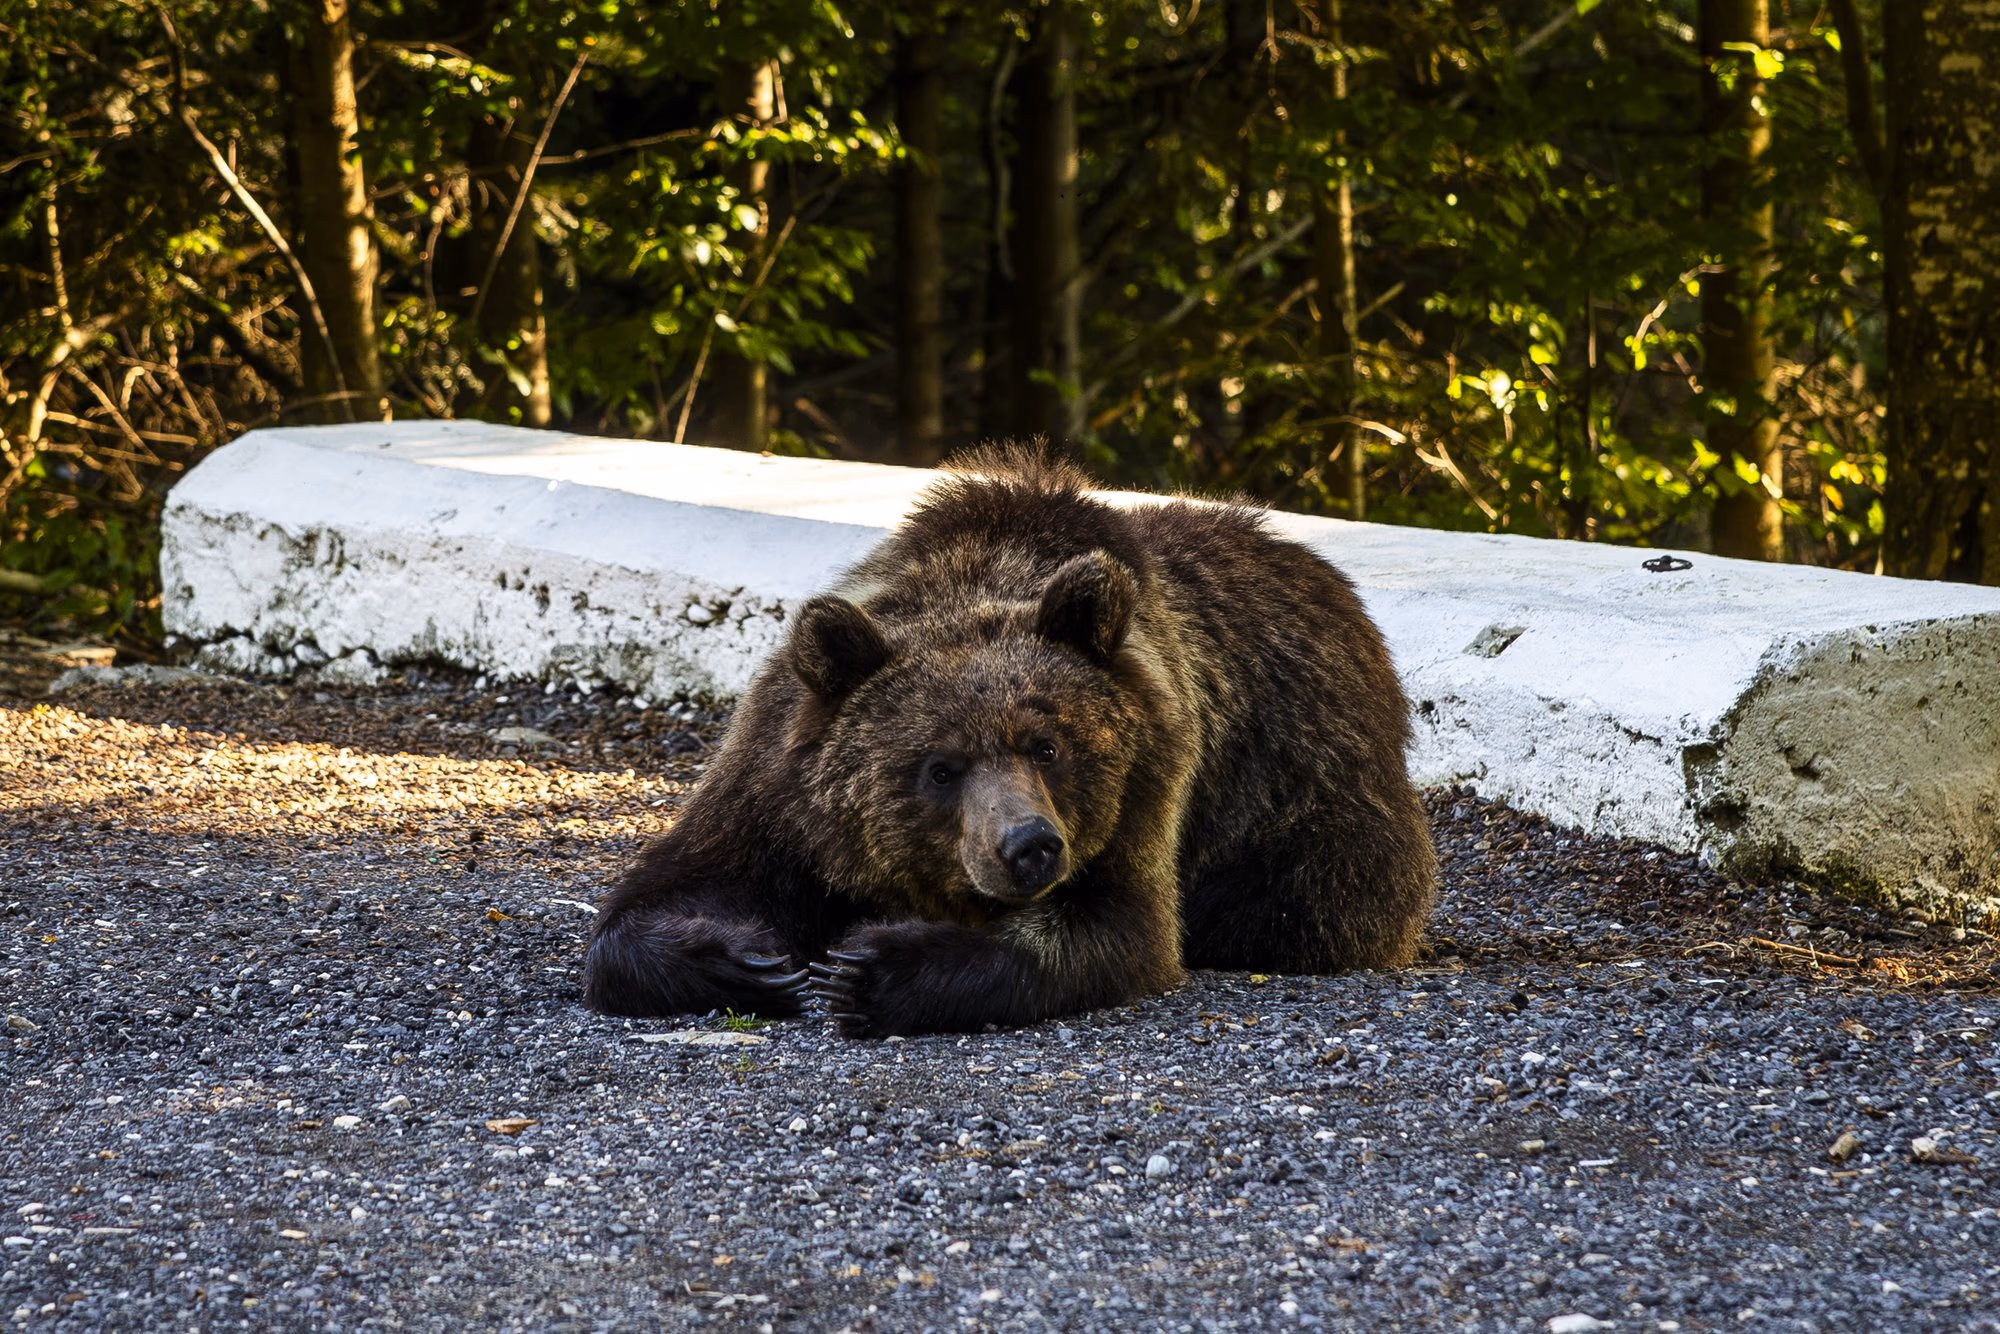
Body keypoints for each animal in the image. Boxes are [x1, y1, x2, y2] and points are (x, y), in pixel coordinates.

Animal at [582, 447, 1436, 1037]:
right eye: (940, 767)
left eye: (1047, 746)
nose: (1029, 845)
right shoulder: (774, 784)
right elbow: (663, 898)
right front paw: (752, 961)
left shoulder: (1149, 782)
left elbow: (1110, 930)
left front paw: (869, 968)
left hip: (1310, 800)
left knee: (1314, 898)